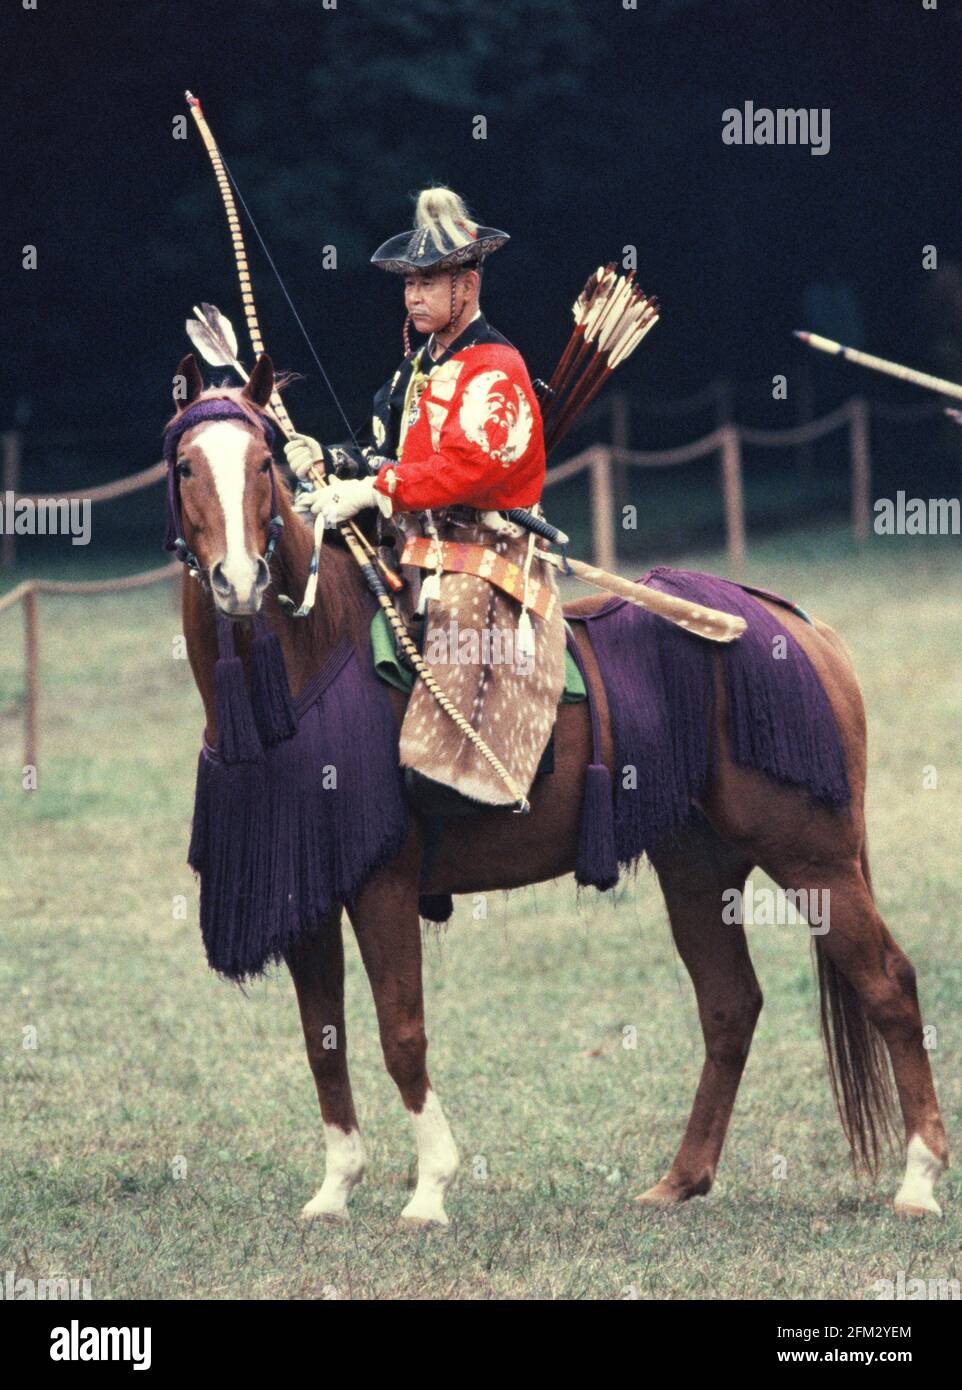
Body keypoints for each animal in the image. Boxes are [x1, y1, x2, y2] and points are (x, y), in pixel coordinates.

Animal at [170, 355, 945, 1228]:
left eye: (261, 467)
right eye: (185, 466)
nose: (240, 580)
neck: (312, 662)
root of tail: (808, 632)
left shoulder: (382, 883)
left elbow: (401, 1031)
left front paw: (430, 1188)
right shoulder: (303, 891)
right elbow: (321, 1039)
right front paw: (335, 1189)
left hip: (814, 859)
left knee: (888, 983)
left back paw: (918, 1181)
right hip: (699, 865)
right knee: (730, 1006)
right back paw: (681, 1178)